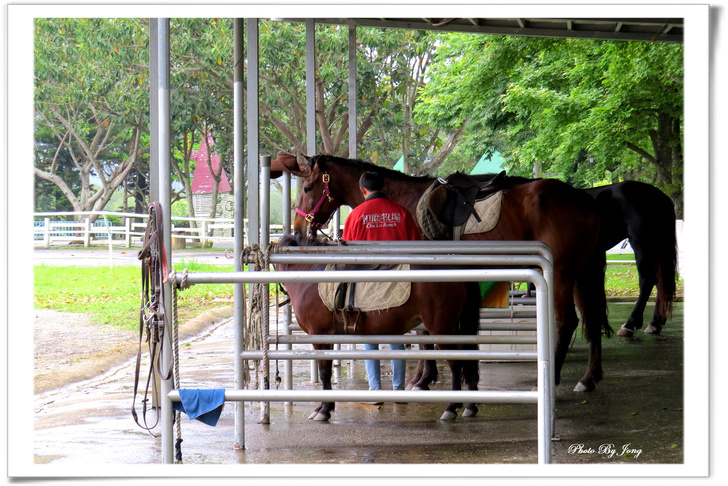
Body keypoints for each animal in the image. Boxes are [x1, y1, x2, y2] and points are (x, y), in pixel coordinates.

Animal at [271, 153, 611, 393]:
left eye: (307, 187)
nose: (299, 228)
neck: (401, 199)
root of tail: (584, 200)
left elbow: (424, 333)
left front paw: (422, 378)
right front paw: (427, 376)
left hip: (563, 275)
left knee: (567, 322)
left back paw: (552, 379)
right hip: (582, 274)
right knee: (591, 320)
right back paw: (589, 378)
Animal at [274, 234, 483, 421]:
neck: (309, 275)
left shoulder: (320, 336)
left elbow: (325, 373)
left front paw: (324, 410)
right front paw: (323, 408)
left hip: (441, 330)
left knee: (456, 363)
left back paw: (451, 407)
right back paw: (470, 405)